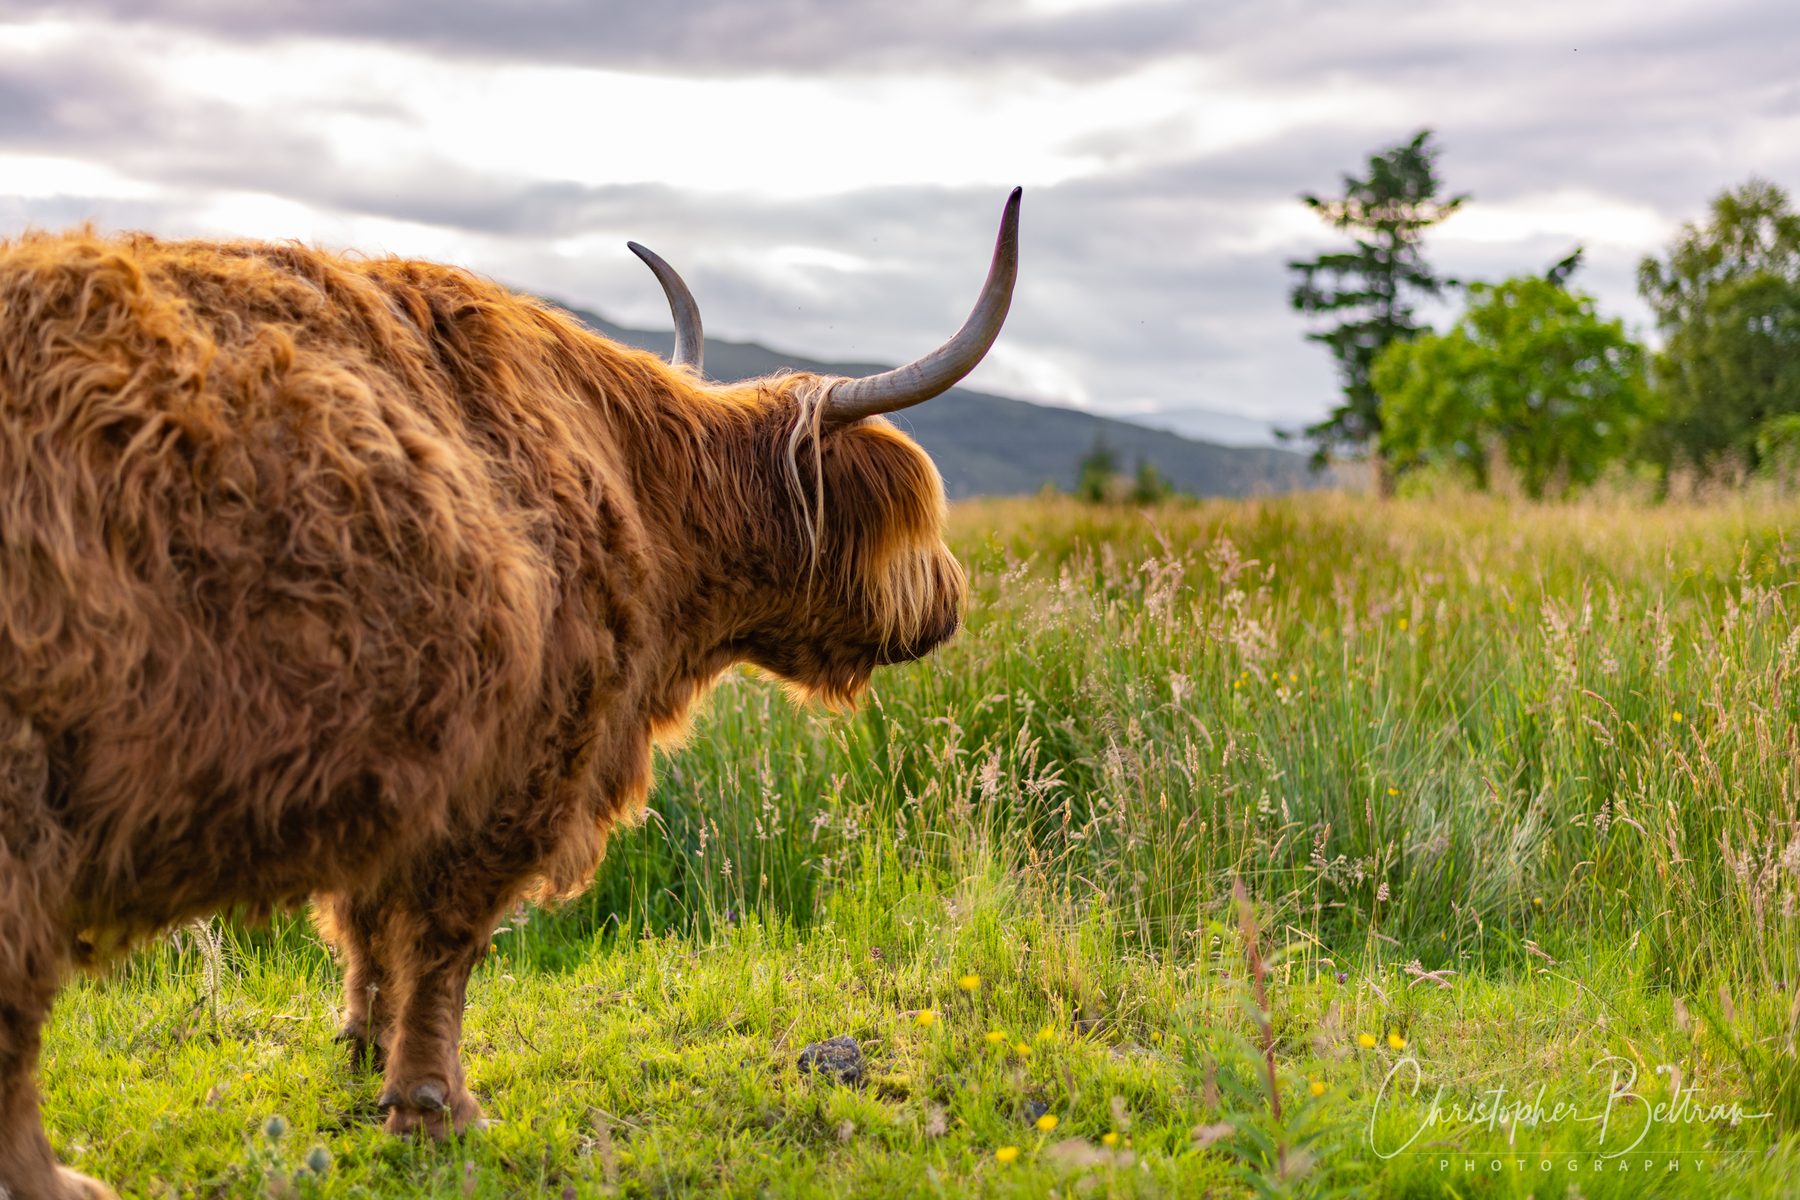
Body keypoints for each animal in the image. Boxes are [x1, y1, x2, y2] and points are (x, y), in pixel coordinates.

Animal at [0, 190, 1020, 1199]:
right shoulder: (525, 762)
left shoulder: (403, 765)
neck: (642, 494)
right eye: (911, 519)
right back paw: (53, 1179)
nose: (951, 602)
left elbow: (368, 930)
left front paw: (362, 1048)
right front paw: (433, 1108)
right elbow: (446, 945)